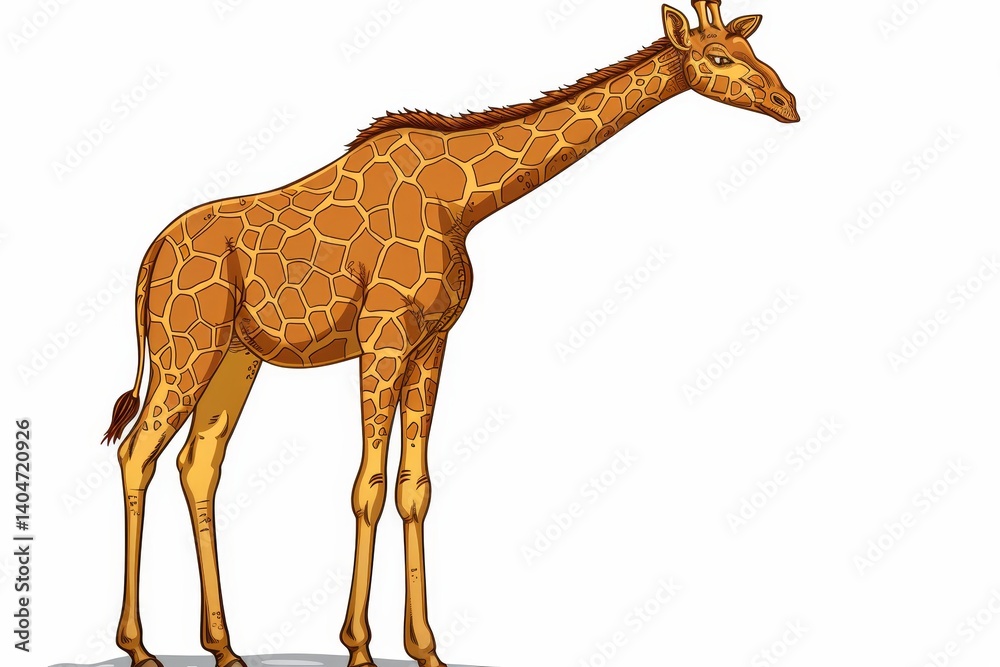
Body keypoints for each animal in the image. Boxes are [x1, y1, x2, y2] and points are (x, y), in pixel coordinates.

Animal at [102, 3, 797, 666]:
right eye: (718, 56)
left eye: (752, 47)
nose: (788, 102)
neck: (461, 201)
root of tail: (149, 257)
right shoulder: (383, 335)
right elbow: (368, 488)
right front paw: (358, 647)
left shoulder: (431, 342)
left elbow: (416, 489)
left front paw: (426, 648)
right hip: (186, 348)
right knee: (138, 453)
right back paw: (139, 647)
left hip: (235, 357)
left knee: (198, 465)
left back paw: (224, 647)